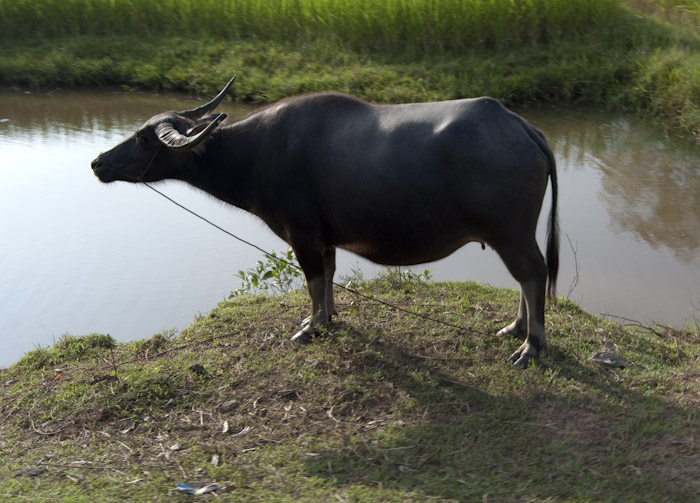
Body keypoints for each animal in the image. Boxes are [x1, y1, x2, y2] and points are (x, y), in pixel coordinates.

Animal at [93, 76, 560, 366]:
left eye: (142, 138)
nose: (98, 163)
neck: (253, 153)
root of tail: (522, 127)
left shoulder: (302, 234)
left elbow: (313, 281)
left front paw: (312, 327)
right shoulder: (326, 237)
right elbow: (330, 277)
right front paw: (327, 319)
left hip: (509, 232)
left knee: (533, 273)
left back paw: (531, 346)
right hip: (511, 234)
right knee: (526, 277)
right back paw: (514, 328)